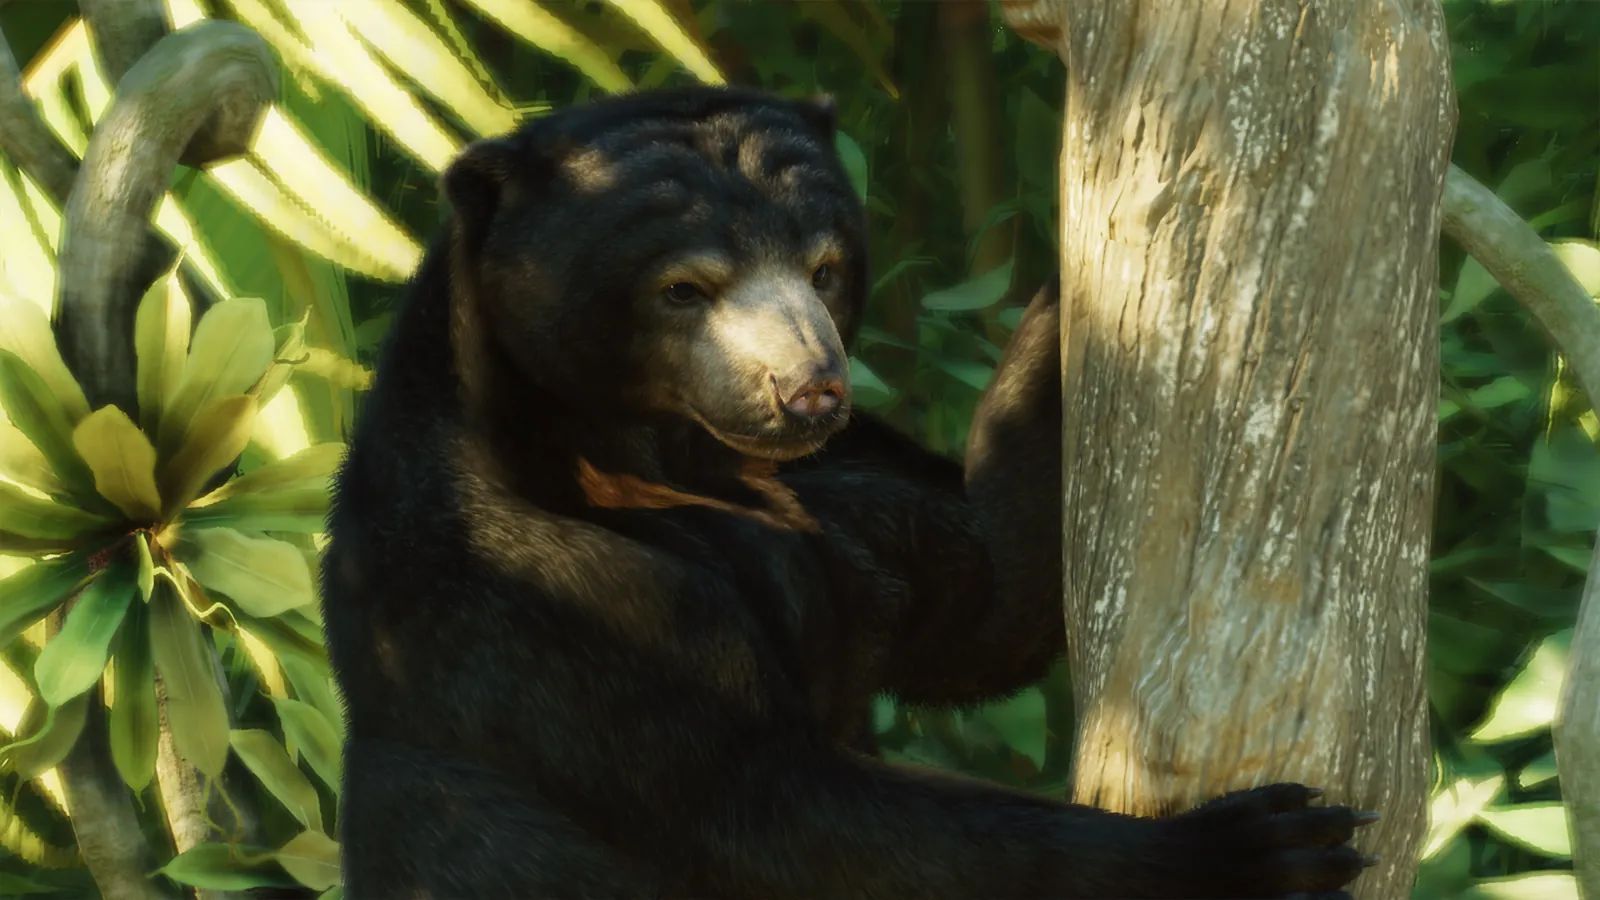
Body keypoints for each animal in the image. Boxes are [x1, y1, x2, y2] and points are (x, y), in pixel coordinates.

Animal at [320, 85, 1375, 899]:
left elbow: (987, 595)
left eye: (824, 265)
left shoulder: (845, 489)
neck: (665, 454)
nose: (811, 387)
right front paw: (1254, 847)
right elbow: (773, 810)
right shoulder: (547, 599)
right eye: (683, 288)